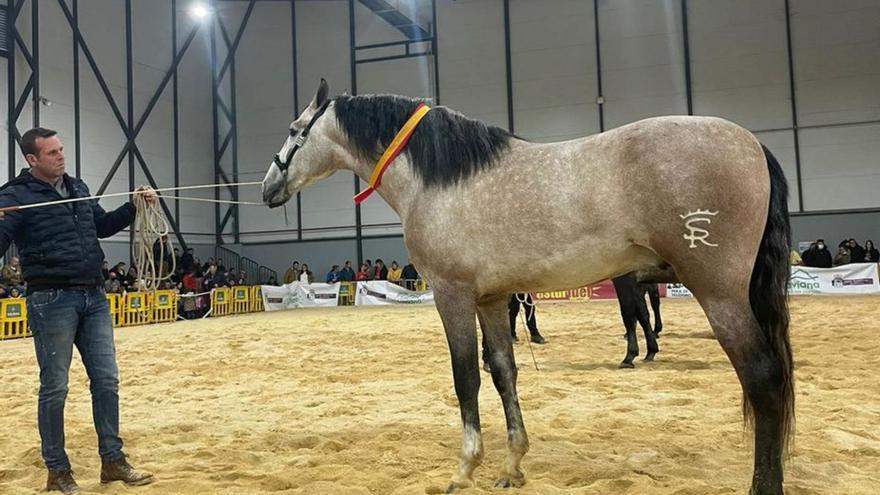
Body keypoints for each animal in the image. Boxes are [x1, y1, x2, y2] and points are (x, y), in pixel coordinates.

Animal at [262, 79, 796, 494]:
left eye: (292, 130)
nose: (268, 187)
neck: (440, 180)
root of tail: (751, 144)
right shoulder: (492, 299)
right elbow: (504, 372)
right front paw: (512, 465)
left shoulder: (453, 296)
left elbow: (466, 378)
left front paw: (464, 469)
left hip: (720, 293)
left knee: (763, 379)